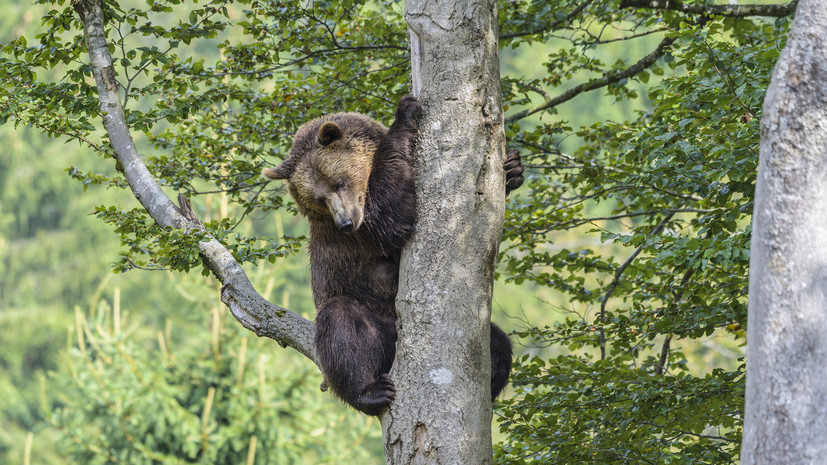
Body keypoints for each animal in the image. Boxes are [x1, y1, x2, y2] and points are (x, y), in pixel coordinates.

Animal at [262, 95, 524, 416]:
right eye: (319, 198)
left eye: (338, 182)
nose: (345, 223)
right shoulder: (363, 232)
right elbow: (390, 217)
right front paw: (405, 112)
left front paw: (513, 168)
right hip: (370, 315)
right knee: (341, 325)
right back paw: (370, 391)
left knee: (497, 343)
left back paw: (489, 386)